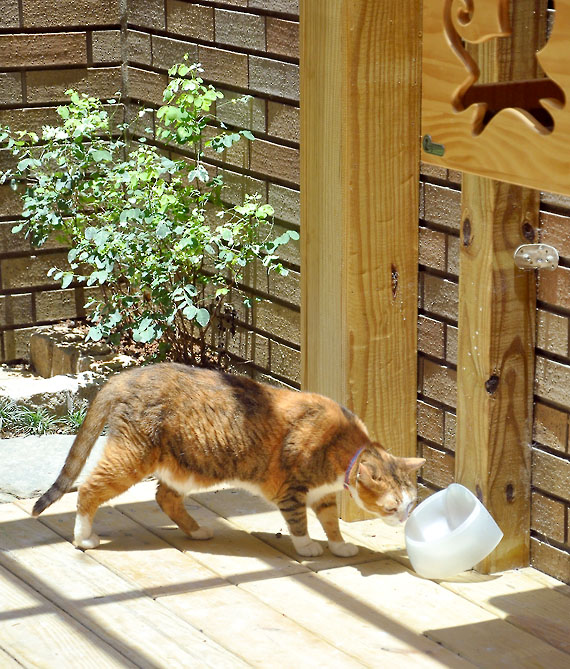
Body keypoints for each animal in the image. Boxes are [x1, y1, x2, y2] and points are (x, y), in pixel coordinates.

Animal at [33, 363, 425, 557]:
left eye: (412, 503)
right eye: (393, 507)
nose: (406, 519)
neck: (343, 443)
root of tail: (125, 376)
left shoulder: (325, 494)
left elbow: (330, 521)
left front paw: (340, 545)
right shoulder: (292, 489)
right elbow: (299, 522)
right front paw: (307, 547)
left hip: (185, 465)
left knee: (165, 496)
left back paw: (197, 530)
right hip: (132, 456)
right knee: (89, 490)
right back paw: (84, 538)